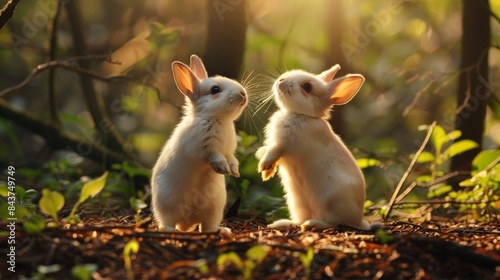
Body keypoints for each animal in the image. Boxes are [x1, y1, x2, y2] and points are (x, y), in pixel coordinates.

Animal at [150, 54, 248, 232]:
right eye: (215, 90)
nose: (243, 94)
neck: (217, 118)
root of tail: (186, 222)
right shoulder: (205, 149)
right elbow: (215, 157)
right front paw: (223, 168)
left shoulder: (229, 151)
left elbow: (231, 159)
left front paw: (234, 171)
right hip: (166, 205)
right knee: (167, 222)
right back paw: (170, 230)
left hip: (213, 208)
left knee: (206, 227)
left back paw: (221, 230)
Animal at [256, 64, 380, 231]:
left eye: (307, 87)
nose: (281, 80)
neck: (301, 114)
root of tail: (359, 221)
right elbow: (270, 154)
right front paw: (265, 168)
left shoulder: (284, 144)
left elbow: (274, 152)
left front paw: (263, 166)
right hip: (296, 203)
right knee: (300, 220)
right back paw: (281, 223)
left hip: (331, 203)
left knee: (334, 223)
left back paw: (312, 224)